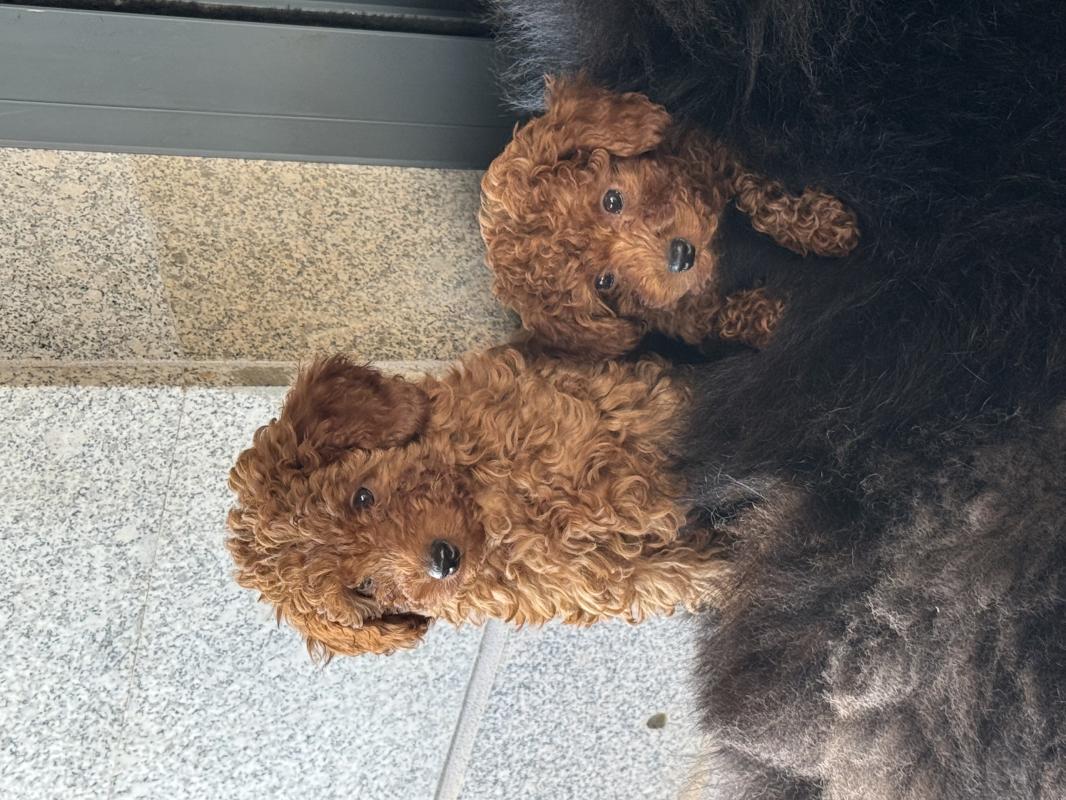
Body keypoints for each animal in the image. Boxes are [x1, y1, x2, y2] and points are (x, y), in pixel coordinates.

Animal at [226, 348, 725, 658]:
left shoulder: (610, 415)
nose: (443, 561)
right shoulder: (607, 579)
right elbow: (687, 575)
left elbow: (666, 419)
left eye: (361, 496)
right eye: (364, 587)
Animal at [479, 76, 859, 356]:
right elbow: (725, 316)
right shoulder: (687, 318)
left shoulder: (710, 158)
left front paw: (823, 226)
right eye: (604, 281)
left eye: (612, 200)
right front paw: (776, 319)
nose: (681, 256)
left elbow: (759, 193)